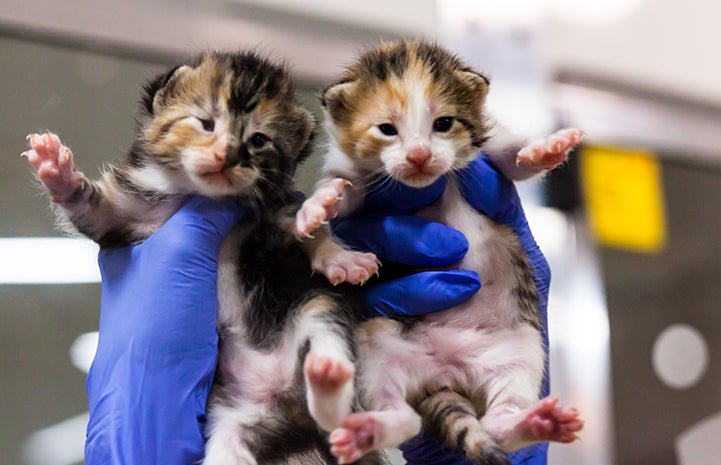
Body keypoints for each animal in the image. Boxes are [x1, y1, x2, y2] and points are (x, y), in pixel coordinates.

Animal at [23, 50, 382, 464]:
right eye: (206, 123)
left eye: (258, 140)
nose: (226, 156)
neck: (201, 195)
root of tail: (280, 398)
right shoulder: (122, 218)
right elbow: (92, 210)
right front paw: (58, 171)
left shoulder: (268, 220)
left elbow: (302, 227)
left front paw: (330, 236)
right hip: (232, 420)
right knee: (230, 448)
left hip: (314, 309)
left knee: (325, 336)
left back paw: (329, 375)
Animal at [298, 40, 584, 464]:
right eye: (387, 129)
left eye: (444, 123)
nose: (418, 156)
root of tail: (449, 376)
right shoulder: (351, 172)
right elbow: (341, 193)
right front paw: (317, 207)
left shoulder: (487, 145)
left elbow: (511, 159)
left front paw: (546, 147)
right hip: (375, 344)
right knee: (402, 417)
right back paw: (357, 417)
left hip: (524, 347)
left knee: (497, 422)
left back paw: (536, 422)